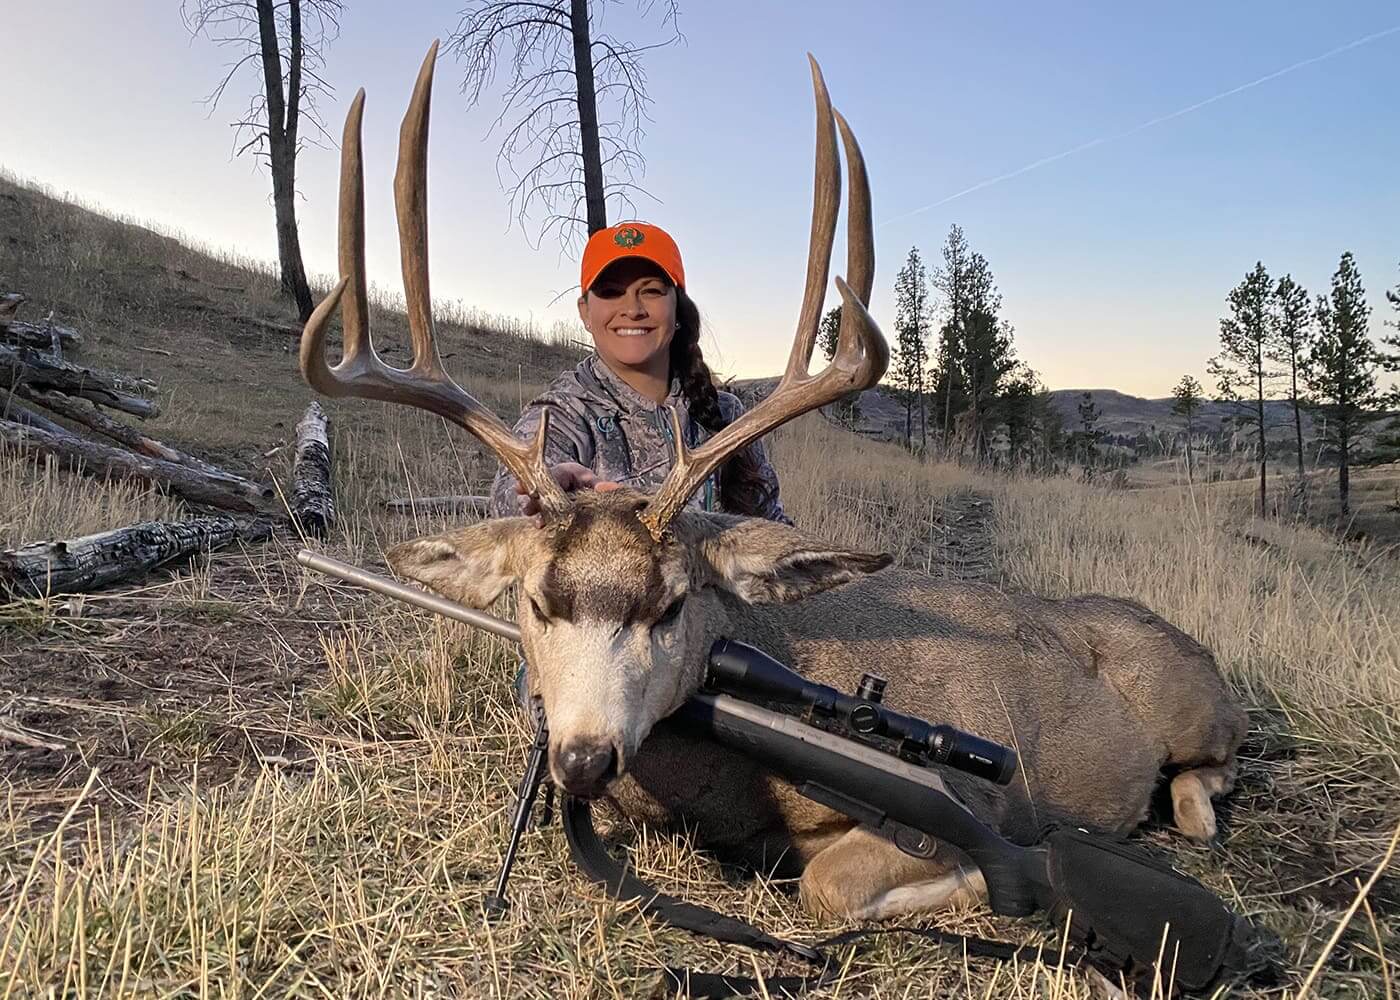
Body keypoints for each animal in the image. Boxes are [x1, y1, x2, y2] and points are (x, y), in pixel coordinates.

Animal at [300, 42, 1248, 929]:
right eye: (534, 602)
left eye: (672, 605)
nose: (582, 759)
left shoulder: (986, 800)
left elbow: (837, 883)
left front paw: (997, 882)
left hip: (1194, 708)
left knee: (1213, 767)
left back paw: (1184, 816)